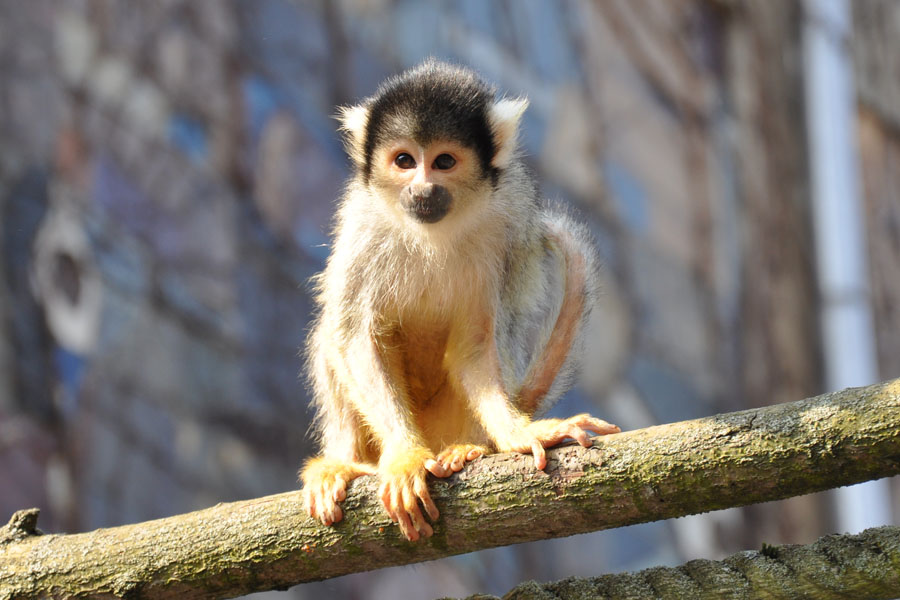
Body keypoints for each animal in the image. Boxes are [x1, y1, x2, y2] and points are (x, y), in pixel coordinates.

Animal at [302, 62, 620, 544]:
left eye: (444, 162)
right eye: (404, 161)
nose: (422, 190)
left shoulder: (508, 223)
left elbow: (474, 345)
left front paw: (518, 433)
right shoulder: (363, 222)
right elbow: (352, 334)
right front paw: (404, 456)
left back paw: (469, 447)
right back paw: (344, 461)